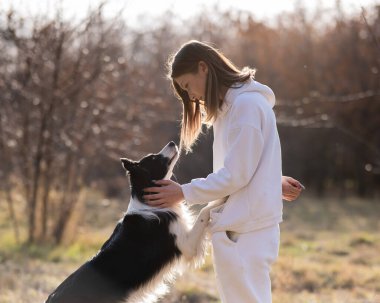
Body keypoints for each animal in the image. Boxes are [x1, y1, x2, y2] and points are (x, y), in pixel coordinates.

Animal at [45, 142, 224, 303]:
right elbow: (204, 212)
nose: (173, 142)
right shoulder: (186, 245)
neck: (147, 202)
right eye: (154, 158)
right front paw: (221, 199)